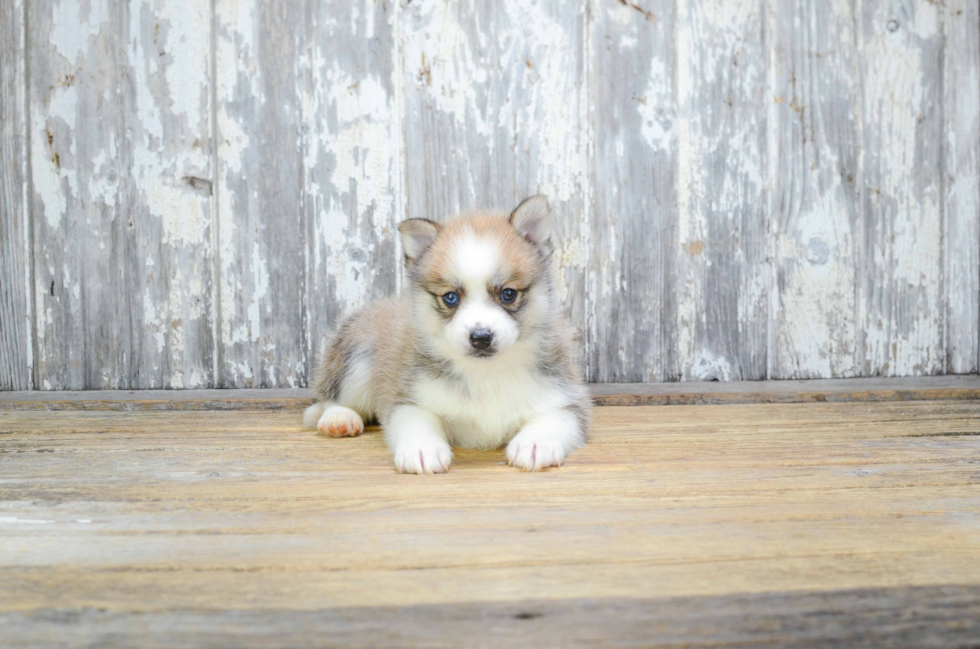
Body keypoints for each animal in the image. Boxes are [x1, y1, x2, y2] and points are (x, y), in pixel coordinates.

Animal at [300, 195, 588, 474]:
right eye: (450, 297)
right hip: (358, 356)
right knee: (331, 399)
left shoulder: (567, 399)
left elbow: (554, 419)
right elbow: (417, 421)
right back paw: (340, 418)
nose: (480, 337)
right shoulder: (408, 397)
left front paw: (535, 443)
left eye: (508, 293)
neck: (486, 373)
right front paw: (422, 448)